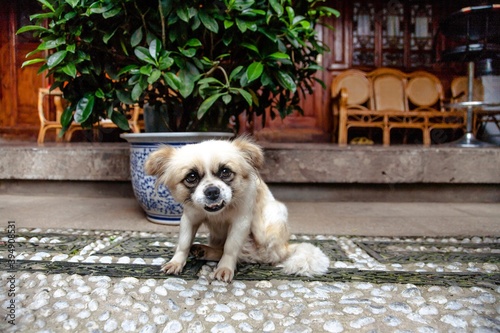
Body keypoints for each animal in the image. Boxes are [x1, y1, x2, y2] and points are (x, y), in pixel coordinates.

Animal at [145, 136, 330, 282]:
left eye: (225, 172)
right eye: (191, 177)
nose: (212, 191)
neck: (220, 211)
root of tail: (286, 247)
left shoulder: (241, 223)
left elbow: (230, 248)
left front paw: (224, 268)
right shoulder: (190, 219)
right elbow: (183, 244)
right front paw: (176, 262)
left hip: (269, 222)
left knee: (262, 255)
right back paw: (203, 250)